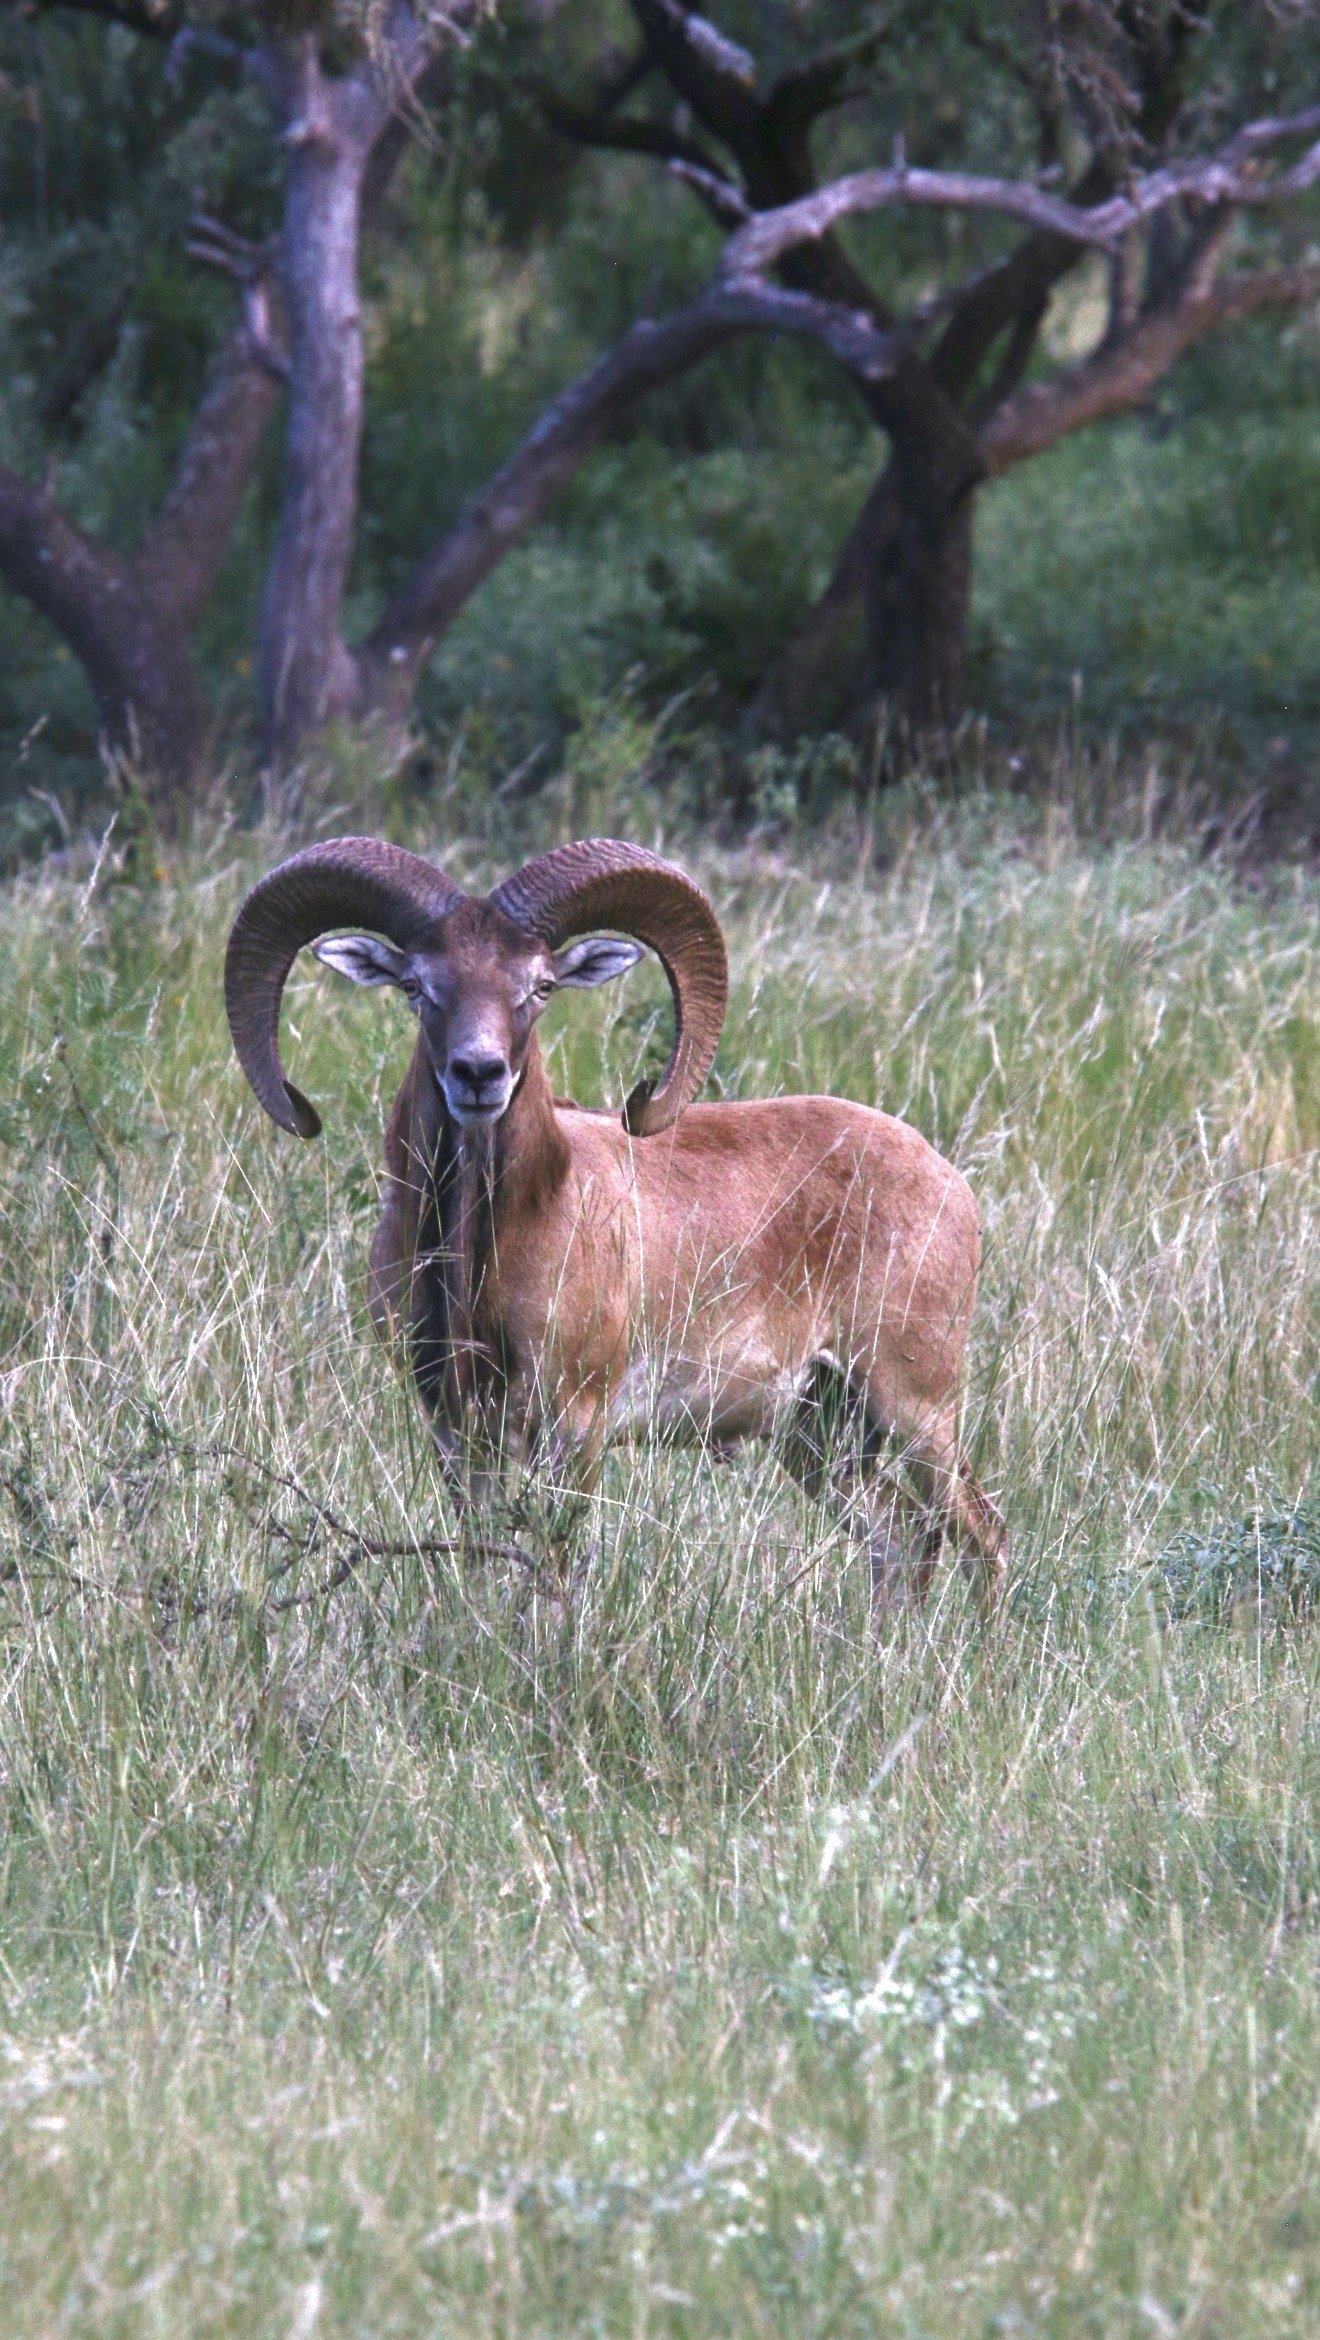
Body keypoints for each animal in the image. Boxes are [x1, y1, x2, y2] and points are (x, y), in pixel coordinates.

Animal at [225, 835, 1005, 1614]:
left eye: (540, 986)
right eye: (416, 986)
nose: (479, 1073)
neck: (489, 1257)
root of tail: (951, 1186)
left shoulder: (577, 1425)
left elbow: (558, 1566)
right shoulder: (459, 1433)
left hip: (915, 1405)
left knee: (979, 1530)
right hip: (819, 1435)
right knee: (900, 1539)